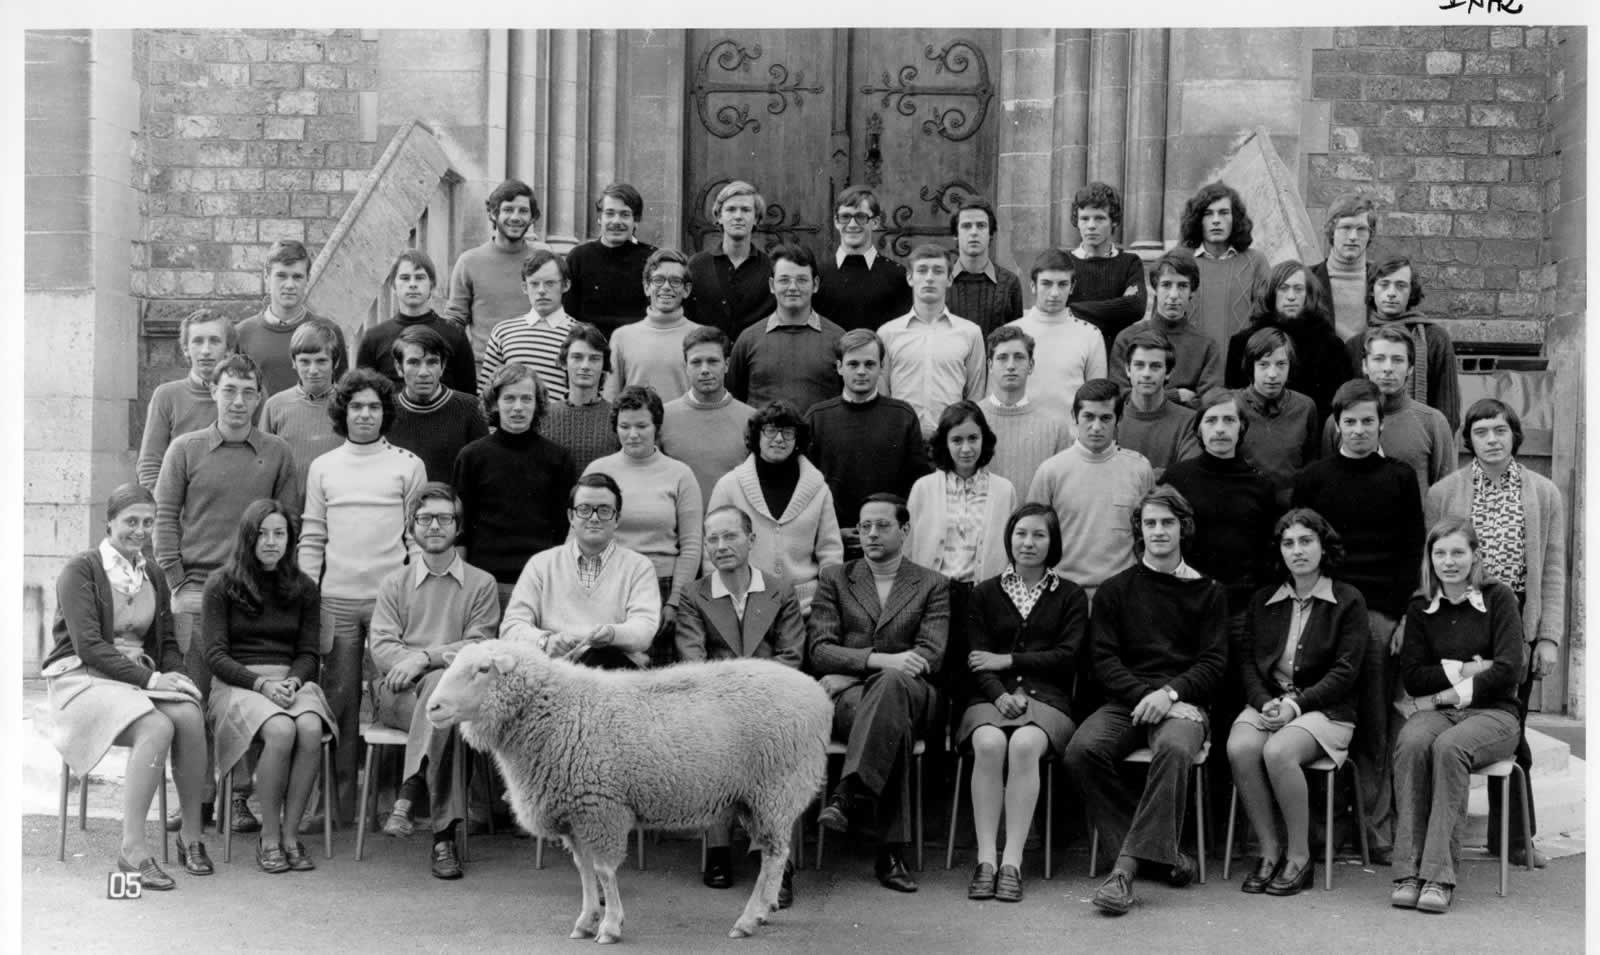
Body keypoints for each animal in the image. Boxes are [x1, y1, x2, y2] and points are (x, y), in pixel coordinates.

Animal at [426, 639, 831, 944]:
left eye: (483, 670)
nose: (433, 707)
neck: (556, 711)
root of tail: (818, 695)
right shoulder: (576, 811)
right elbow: (584, 870)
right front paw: (586, 919)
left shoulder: (601, 807)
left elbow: (604, 871)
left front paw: (610, 926)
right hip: (754, 798)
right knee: (770, 855)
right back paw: (762, 911)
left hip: (776, 790)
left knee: (776, 855)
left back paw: (748, 919)